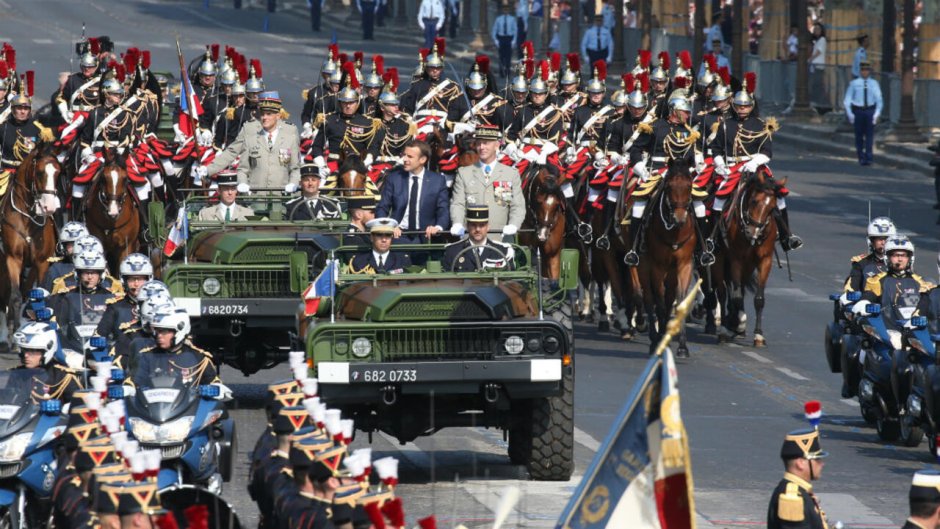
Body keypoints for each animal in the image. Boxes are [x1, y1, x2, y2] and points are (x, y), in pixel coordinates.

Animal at [0, 144, 60, 340]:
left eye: (58, 172)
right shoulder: (13, 259)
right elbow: (15, 296)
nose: (50, 207)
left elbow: (38, 295)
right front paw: (14, 331)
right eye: (40, 172)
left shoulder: (41, 263)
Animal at [632, 157, 696, 354]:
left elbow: (679, 302)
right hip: (643, 266)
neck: (674, 232)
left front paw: (682, 345)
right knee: (647, 296)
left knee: (668, 299)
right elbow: (658, 301)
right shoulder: (658, 266)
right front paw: (659, 339)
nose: (679, 218)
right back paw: (654, 336)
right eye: (668, 186)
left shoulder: (685, 264)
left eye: (689, 185)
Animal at [708, 167, 784, 344]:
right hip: (719, 259)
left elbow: (758, 298)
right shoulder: (736, 259)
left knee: (738, 288)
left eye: (772, 208)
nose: (753, 233)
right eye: (754, 201)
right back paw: (725, 326)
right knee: (723, 292)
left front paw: (758, 334)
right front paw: (736, 323)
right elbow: (735, 296)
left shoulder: (764, 260)